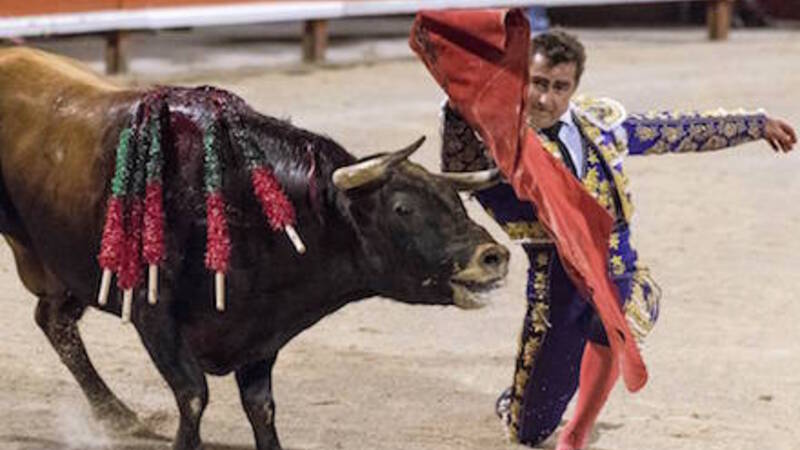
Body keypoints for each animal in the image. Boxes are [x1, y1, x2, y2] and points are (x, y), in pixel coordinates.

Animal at [0, 47, 509, 450]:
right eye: (402, 208)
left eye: (456, 201)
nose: (494, 257)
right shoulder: (154, 314)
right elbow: (194, 396)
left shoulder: (262, 328)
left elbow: (261, 406)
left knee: (53, 321)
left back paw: (118, 415)